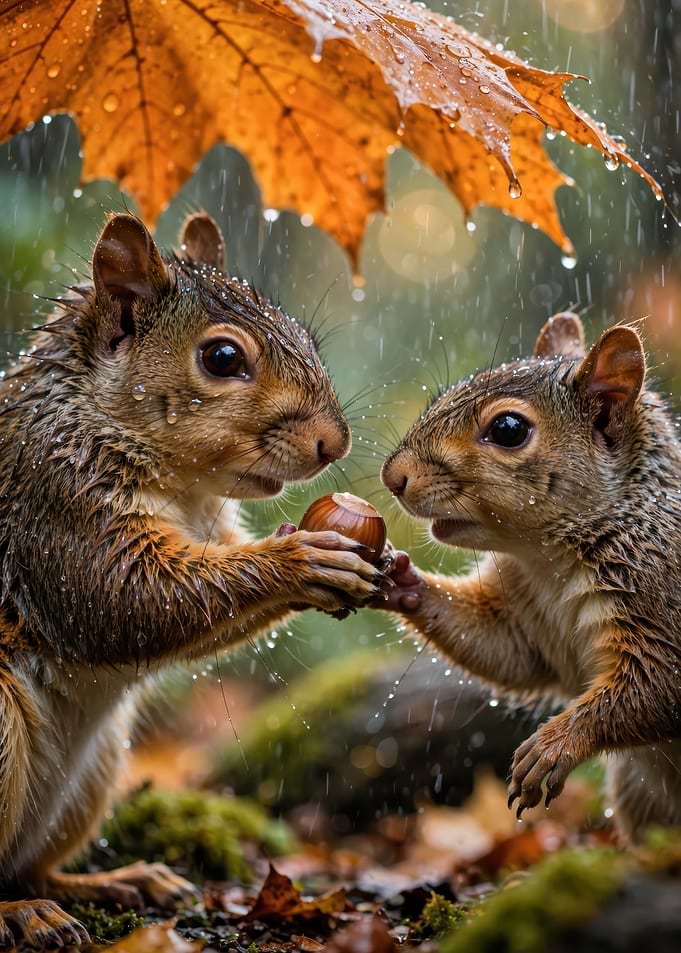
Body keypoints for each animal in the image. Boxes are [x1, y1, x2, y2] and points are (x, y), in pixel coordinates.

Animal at [0, 212, 385, 946]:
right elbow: (124, 597)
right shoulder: (52, 501)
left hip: (95, 768)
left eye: (306, 337)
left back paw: (111, 881)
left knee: (32, 865)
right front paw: (299, 561)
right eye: (223, 359)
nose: (335, 442)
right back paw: (21, 913)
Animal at [378, 311, 681, 843]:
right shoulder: (526, 615)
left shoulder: (659, 593)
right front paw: (400, 577)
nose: (393, 476)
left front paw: (554, 745)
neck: (550, 561)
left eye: (508, 429)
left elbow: (655, 687)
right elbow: (506, 652)